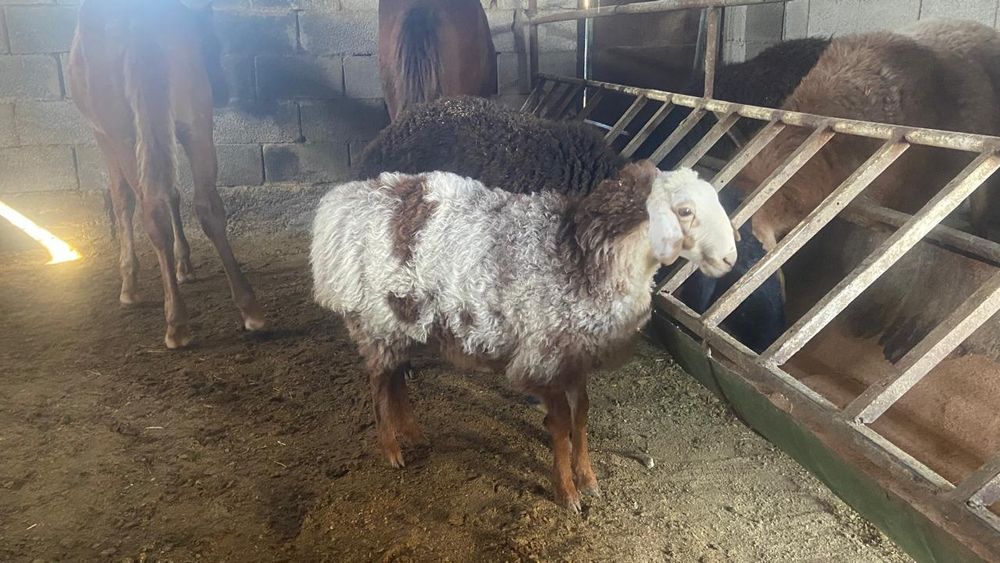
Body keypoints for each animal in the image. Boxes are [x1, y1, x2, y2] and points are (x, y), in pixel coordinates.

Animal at [69, 0, 265, 348]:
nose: (224, 91)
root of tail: (135, 19)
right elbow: (173, 191)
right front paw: (184, 265)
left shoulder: (102, 135)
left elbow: (122, 198)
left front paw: (129, 283)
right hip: (195, 123)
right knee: (207, 206)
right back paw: (249, 309)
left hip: (125, 135)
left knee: (152, 213)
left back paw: (176, 323)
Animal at [311, 162, 728, 511]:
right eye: (685, 211)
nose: (728, 259)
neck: (582, 260)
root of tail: (341, 204)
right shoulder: (543, 358)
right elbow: (560, 424)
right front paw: (567, 492)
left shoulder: (574, 358)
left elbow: (582, 415)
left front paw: (588, 477)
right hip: (376, 320)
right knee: (379, 384)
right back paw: (391, 449)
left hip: (400, 321)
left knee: (395, 377)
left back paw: (413, 434)